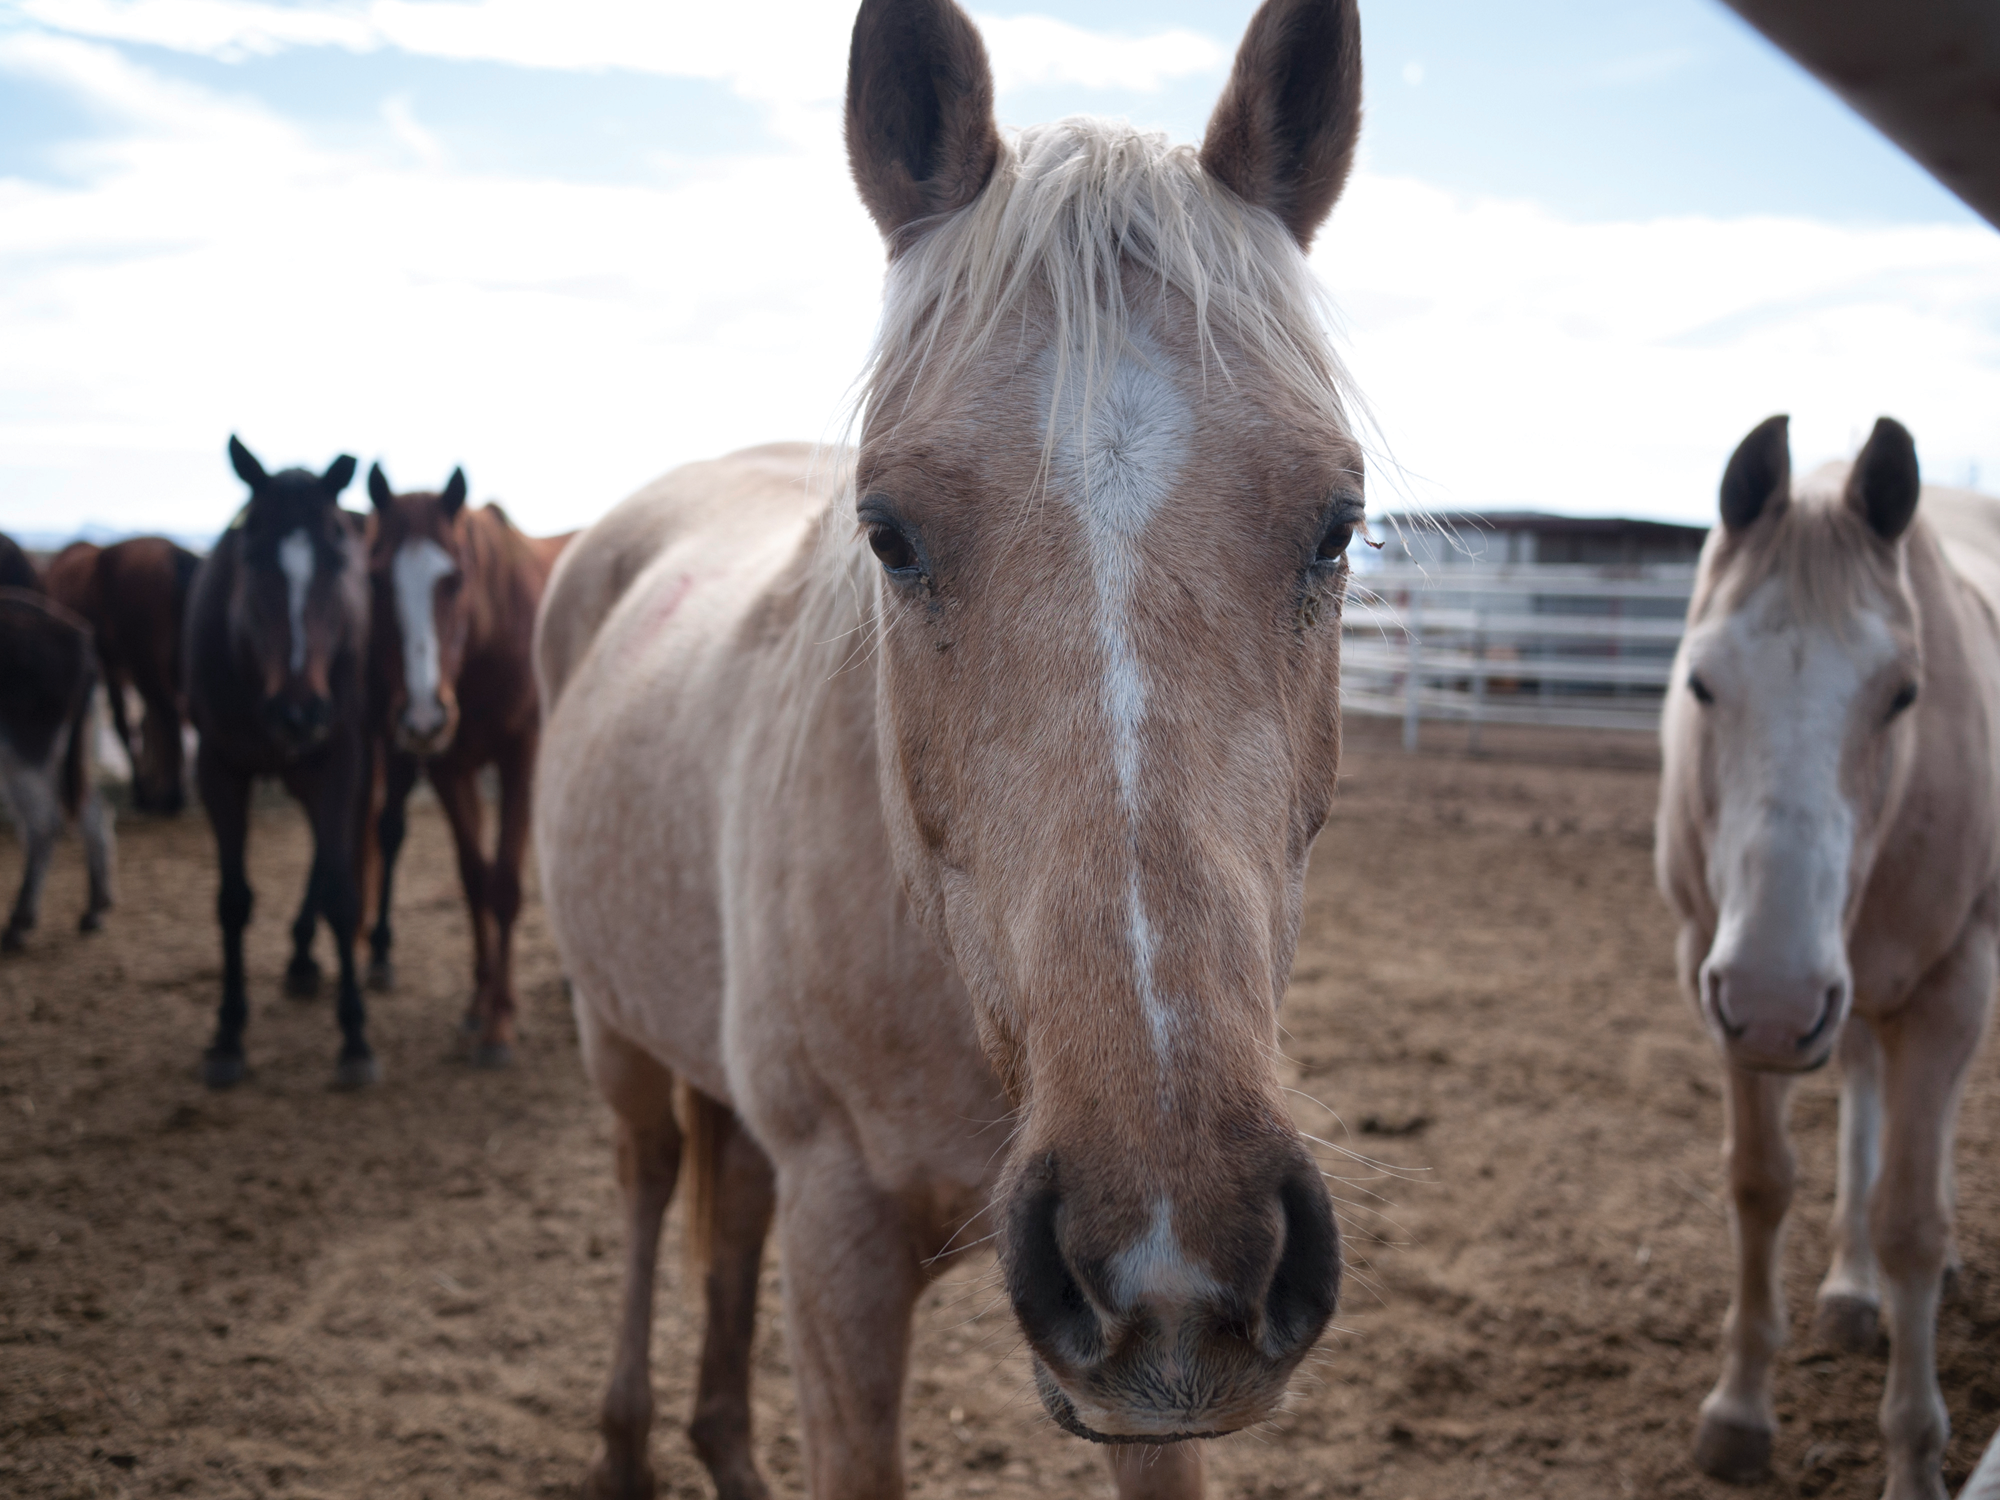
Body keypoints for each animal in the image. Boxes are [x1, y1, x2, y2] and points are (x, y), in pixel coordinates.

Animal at [0, 588, 114, 952]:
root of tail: (80, 636)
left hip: (26, 747)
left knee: (44, 824)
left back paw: (19, 924)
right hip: (55, 753)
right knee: (92, 810)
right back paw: (95, 909)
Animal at [44, 528, 203, 812]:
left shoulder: (109, 666)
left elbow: (122, 724)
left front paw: (141, 790)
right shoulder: (115, 667)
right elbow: (139, 724)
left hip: (146, 663)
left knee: (171, 716)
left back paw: (171, 796)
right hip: (169, 665)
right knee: (179, 716)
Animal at [189, 438, 380, 1096]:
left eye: (336, 556)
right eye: (251, 554)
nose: (300, 710)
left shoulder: (342, 755)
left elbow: (344, 893)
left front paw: (355, 1038)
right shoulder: (217, 769)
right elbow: (231, 901)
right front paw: (226, 1032)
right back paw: (299, 958)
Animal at [356, 470, 564, 1072]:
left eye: (454, 579)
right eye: (376, 579)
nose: (424, 714)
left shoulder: (522, 759)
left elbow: (505, 885)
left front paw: (501, 1023)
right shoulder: (450, 766)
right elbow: (475, 880)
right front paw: (479, 1002)